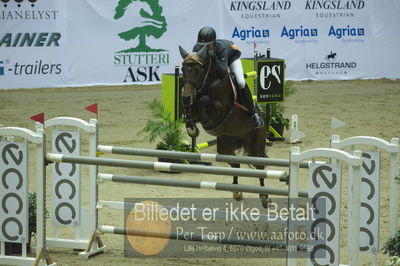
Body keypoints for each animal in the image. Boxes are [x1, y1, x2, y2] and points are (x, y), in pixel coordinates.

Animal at [180, 45, 268, 208]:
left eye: (197, 70)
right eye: (183, 69)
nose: (185, 97)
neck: (209, 82)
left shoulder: (220, 109)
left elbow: (205, 101)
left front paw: (203, 120)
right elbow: (192, 110)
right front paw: (191, 128)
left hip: (255, 145)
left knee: (260, 167)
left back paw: (265, 197)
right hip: (225, 146)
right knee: (236, 164)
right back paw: (237, 193)